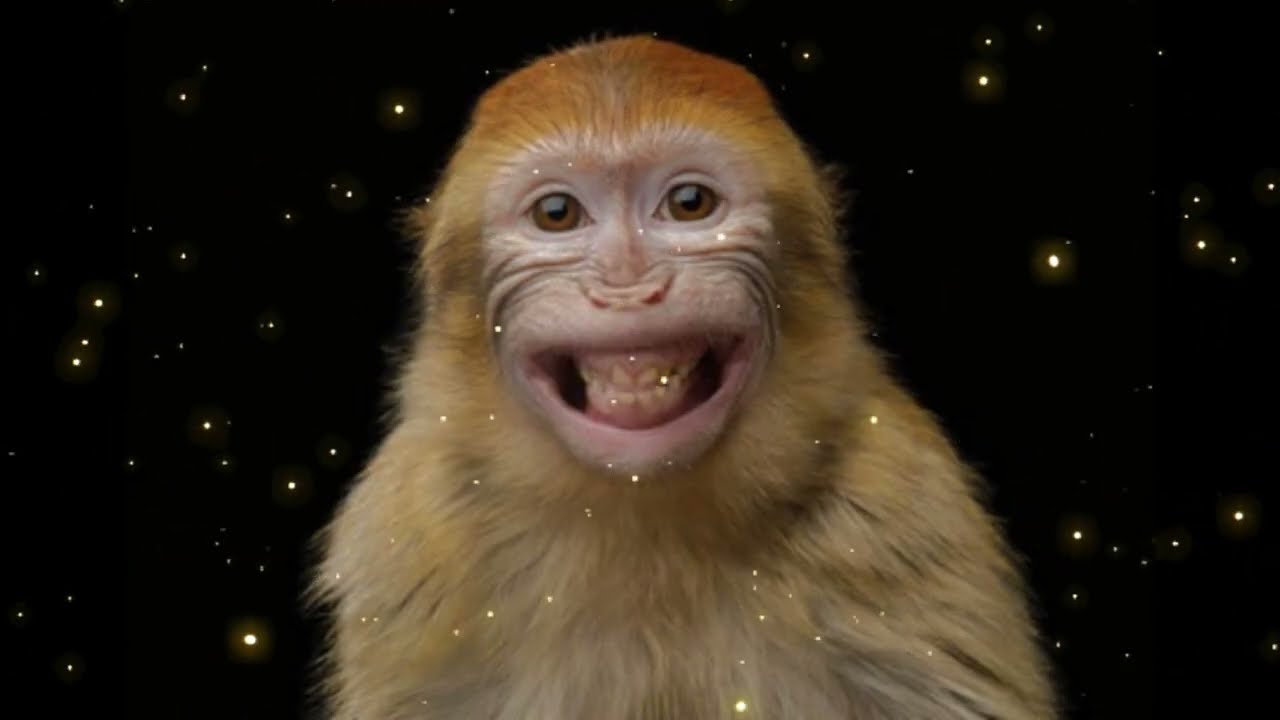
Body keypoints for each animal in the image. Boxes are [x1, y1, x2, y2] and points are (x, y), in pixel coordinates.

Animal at [306, 35, 1059, 719]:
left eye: (690, 202)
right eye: (557, 214)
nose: (629, 285)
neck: (643, 523)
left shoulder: (906, 513)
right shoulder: (406, 541)